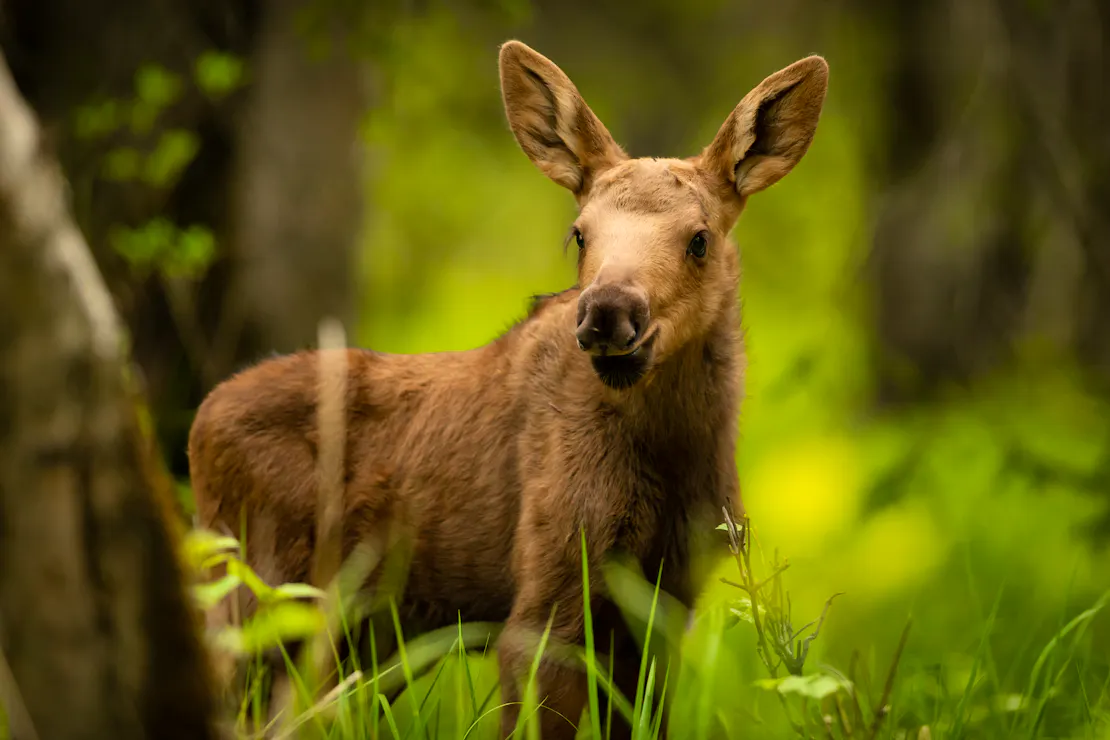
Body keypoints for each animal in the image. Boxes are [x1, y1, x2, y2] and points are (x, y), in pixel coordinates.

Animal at [188, 40, 828, 739]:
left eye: (700, 240)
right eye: (579, 233)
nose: (607, 313)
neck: (671, 451)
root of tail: (198, 425)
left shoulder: (666, 604)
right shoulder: (548, 595)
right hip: (260, 594)